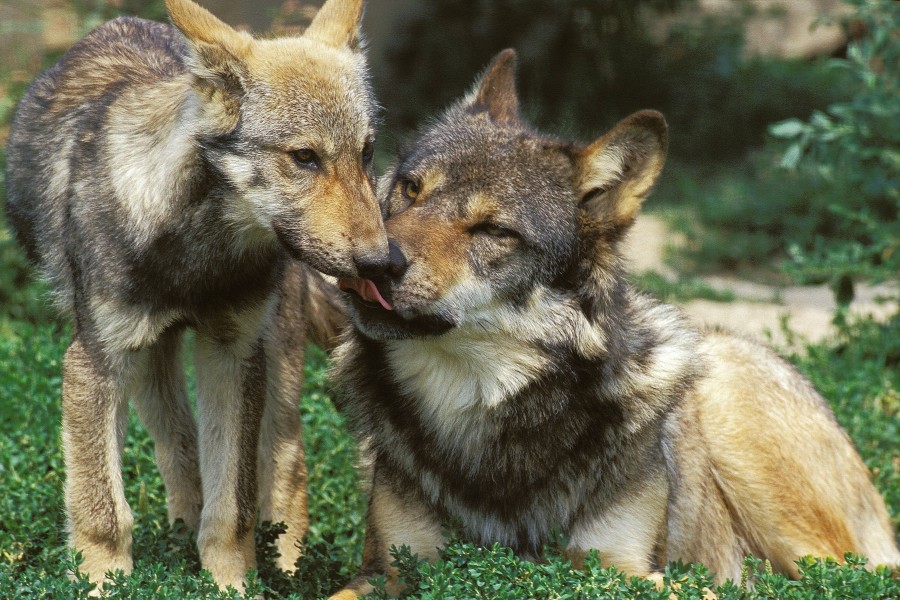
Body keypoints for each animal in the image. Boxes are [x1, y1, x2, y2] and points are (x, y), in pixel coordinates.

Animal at [3, 0, 388, 592]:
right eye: (304, 158)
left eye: (366, 154)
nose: (382, 261)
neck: (194, 257)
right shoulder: (95, 361)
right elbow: (102, 508)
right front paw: (104, 584)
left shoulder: (233, 354)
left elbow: (233, 507)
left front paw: (234, 587)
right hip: (148, 365)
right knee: (178, 446)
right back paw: (180, 537)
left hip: (273, 359)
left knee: (286, 465)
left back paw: (287, 568)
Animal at [328, 49, 900, 596]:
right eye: (410, 189)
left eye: (494, 231)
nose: (375, 265)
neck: (482, 414)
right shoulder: (386, 572)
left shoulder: (625, 569)